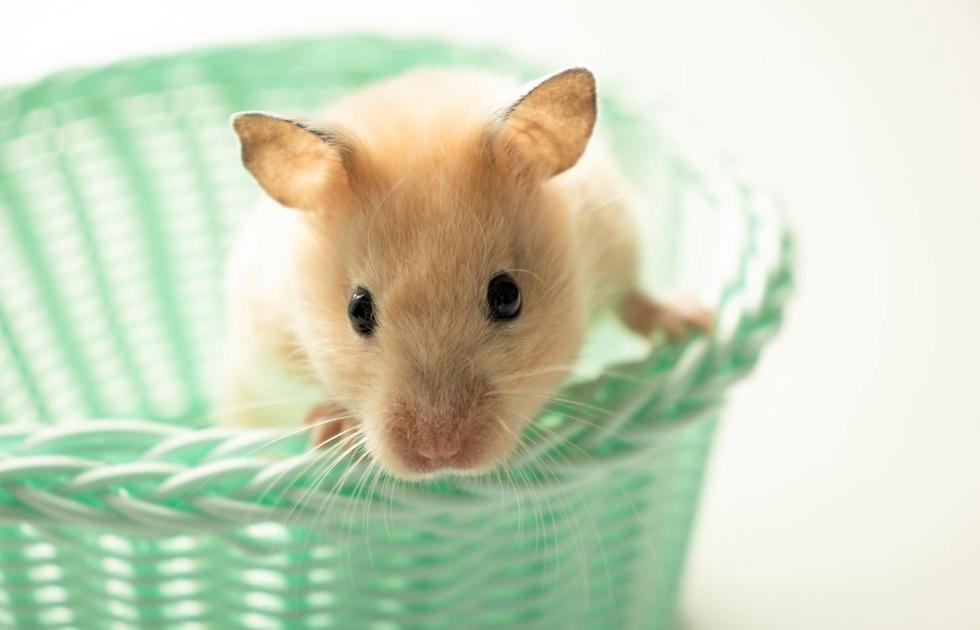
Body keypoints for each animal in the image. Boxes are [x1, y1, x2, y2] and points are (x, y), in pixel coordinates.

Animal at [217, 67, 711, 480]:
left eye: (508, 297)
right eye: (357, 311)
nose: (439, 452)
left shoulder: (614, 236)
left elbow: (633, 295)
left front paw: (693, 323)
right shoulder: (264, 350)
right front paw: (331, 429)